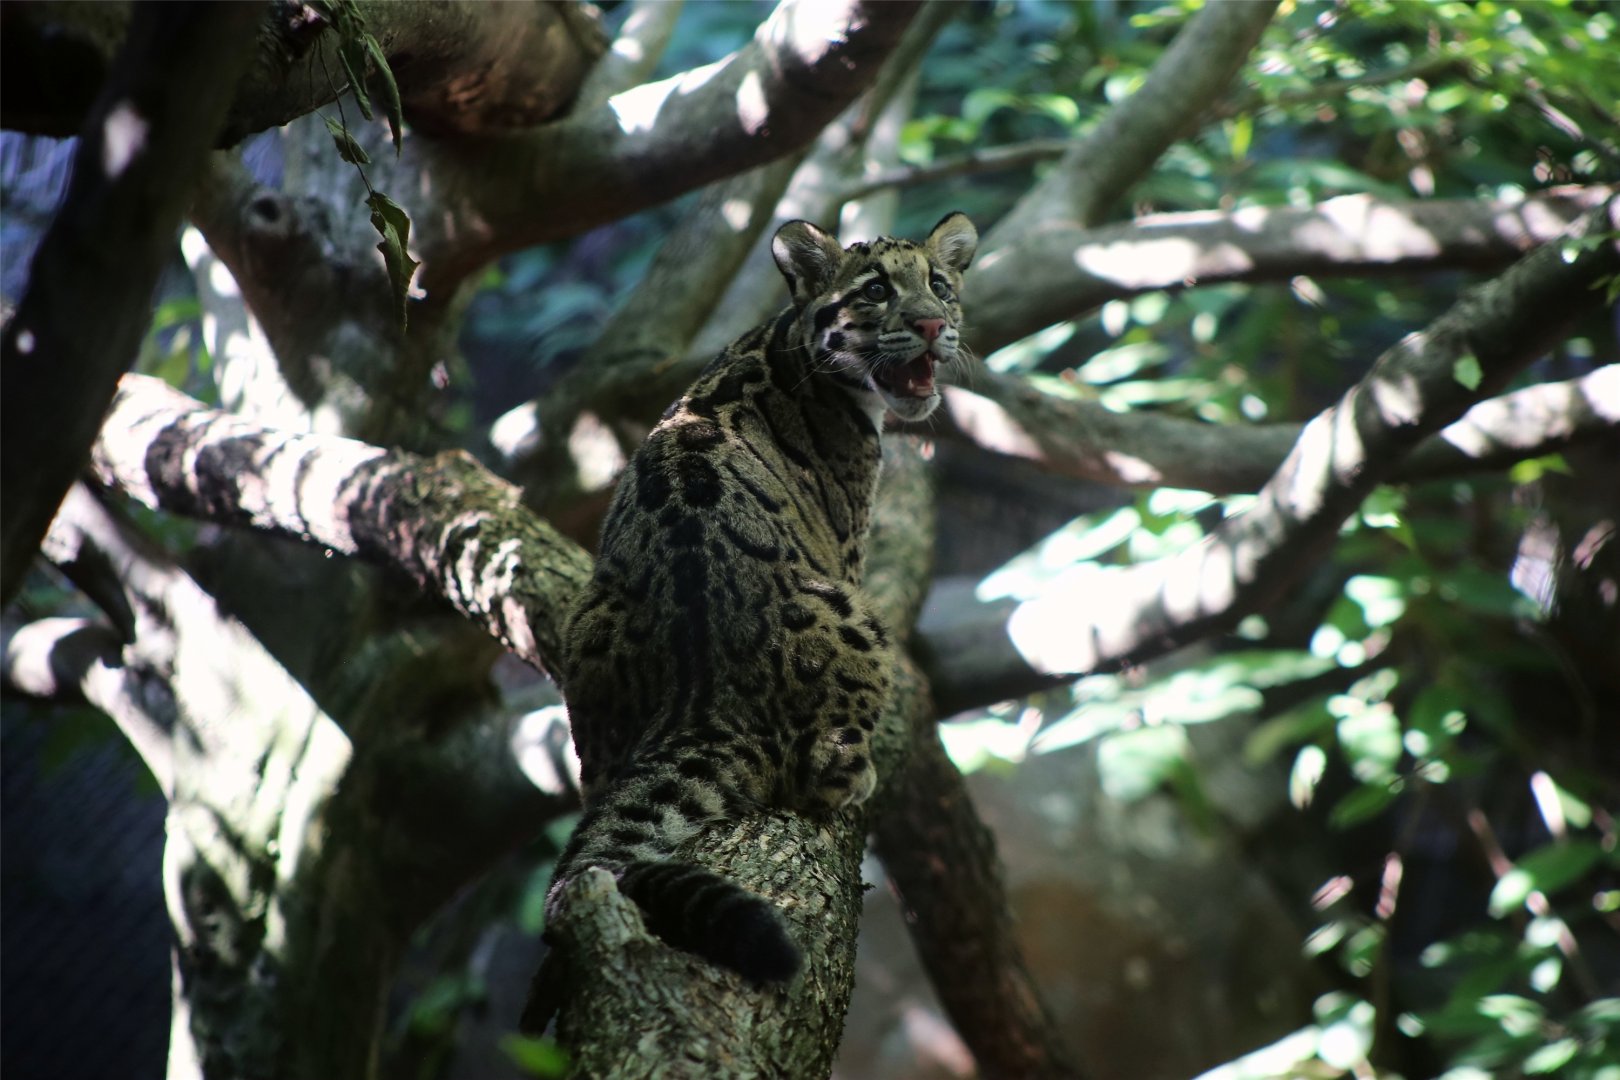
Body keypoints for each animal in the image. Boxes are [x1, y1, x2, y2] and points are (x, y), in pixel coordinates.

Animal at [547, 211, 978, 984]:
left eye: (939, 284)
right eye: (875, 291)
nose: (932, 324)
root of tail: (701, 699)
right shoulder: (849, 549)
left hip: (586, 629)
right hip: (856, 621)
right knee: (818, 770)